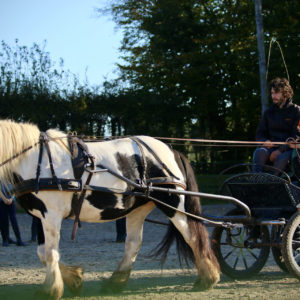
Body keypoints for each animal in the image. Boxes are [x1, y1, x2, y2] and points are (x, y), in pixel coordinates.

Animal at [0, 118, 220, 298]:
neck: (32, 159)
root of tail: (172, 150)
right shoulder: (40, 215)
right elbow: (42, 252)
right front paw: (74, 279)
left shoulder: (51, 214)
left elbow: (50, 253)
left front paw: (51, 290)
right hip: (139, 208)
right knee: (133, 243)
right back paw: (115, 282)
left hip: (174, 205)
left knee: (193, 236)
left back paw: (208, 278)